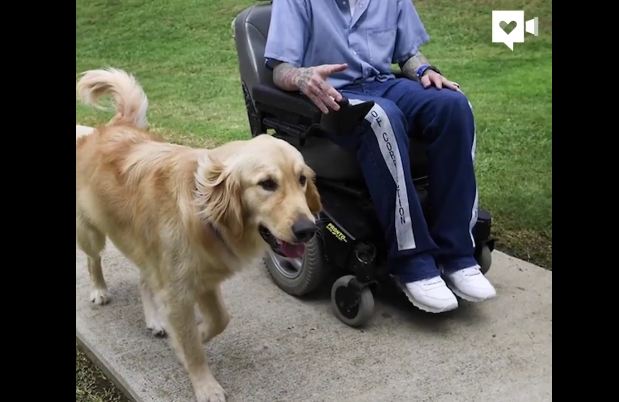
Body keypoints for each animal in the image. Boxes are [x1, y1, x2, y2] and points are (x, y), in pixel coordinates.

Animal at [75, 67, 322, 400]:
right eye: (267, 184)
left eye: (302, 180)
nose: (308, 229)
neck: (205, 214)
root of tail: (112, 127)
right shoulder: (179, 290)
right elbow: (192, 346)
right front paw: (205, 385)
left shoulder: (203, 277)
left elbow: (219, 319)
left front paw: (196, 335)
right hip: (91, 232)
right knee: (93, 260)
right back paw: (100, 290)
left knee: (145, 280)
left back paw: (155, 319)